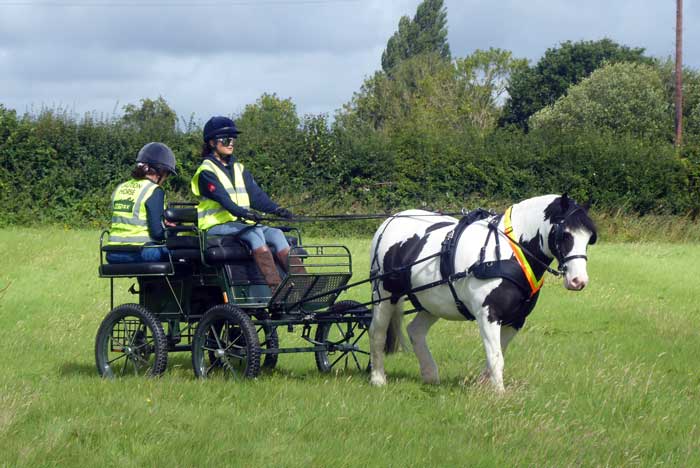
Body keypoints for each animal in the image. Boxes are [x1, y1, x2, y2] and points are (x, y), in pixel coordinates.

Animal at [366, 192, 596, 394]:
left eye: (589, 238)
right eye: (565, 234)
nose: (578, 281)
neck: (506, 253)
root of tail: (390, 221)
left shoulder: (516, 320)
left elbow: (498, 354)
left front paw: (483, 385)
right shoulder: (488, 314)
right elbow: (495, 356)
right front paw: (499, 394)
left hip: (433, 301)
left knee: (415, 331)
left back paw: (430, 375)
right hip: (385, 295)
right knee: (377, 332)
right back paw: (378, 378)